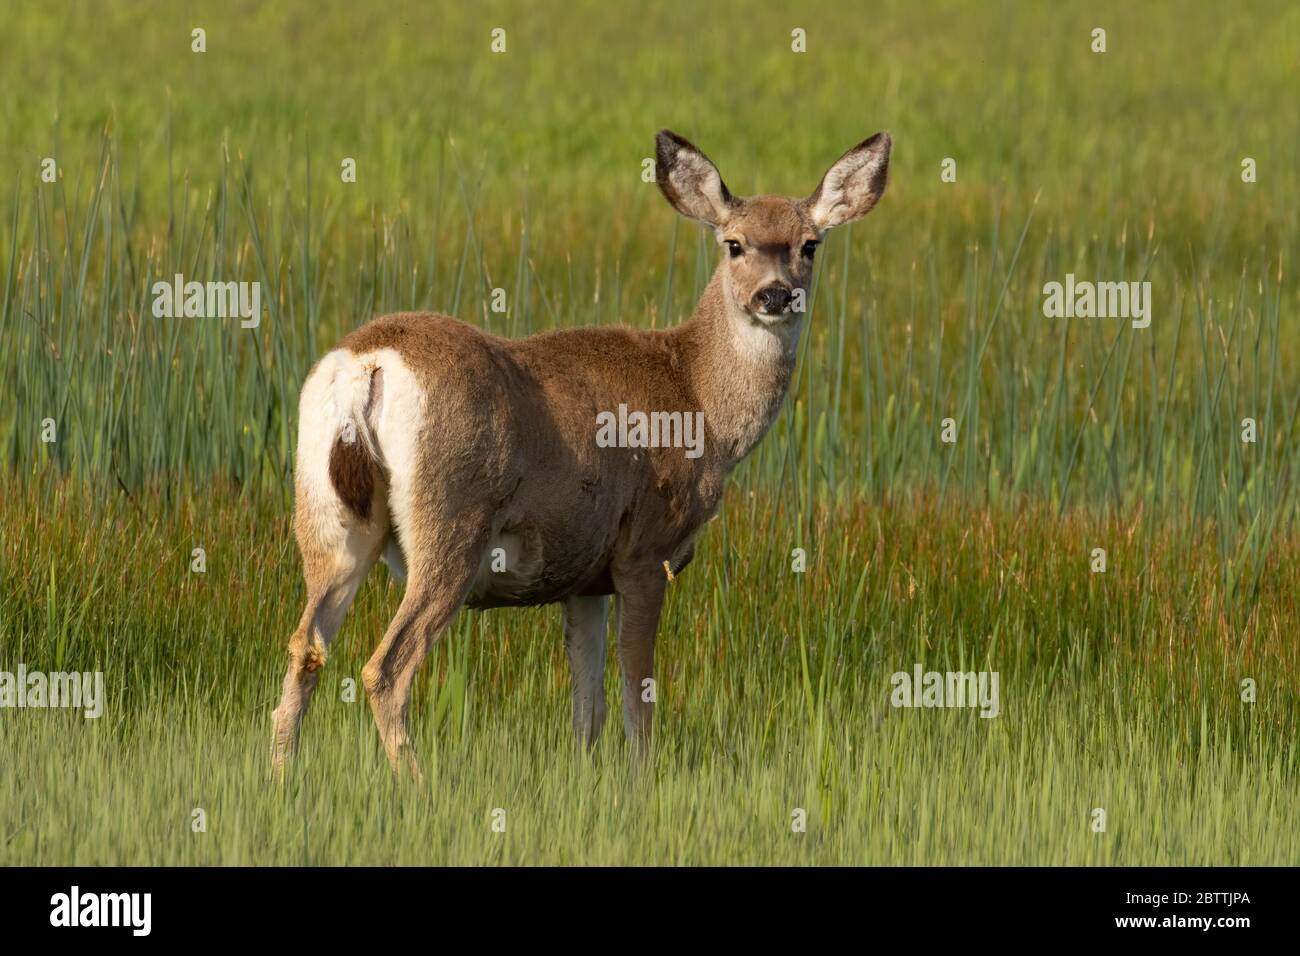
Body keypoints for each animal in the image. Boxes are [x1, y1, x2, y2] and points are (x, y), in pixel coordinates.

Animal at [269, 128, 889, 780]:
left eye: (810, 245)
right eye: (734, 244)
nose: (774, 295)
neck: (698, 397)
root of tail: (368, 366)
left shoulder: (585, 577)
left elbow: (587, 711)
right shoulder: (646, 549)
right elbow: (636, 697)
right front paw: (643, 782)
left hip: (328, 519)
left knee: (306, 648)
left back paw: (281, 780)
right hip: (451, 521)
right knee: (387, 668)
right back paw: (419, 786)